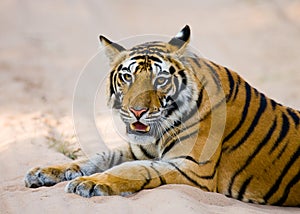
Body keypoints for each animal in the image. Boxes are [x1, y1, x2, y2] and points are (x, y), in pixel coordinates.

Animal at [24, 25, 300, 207]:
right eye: (127, 77)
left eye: (160, 80)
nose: (137, 111)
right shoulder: (137, 150)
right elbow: (97, 157)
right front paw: (44, 171)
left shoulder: (192, 167)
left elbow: (133, 170)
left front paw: (88, 183)